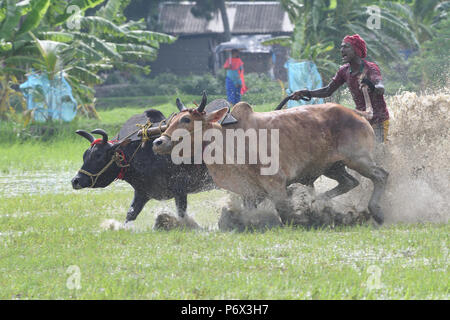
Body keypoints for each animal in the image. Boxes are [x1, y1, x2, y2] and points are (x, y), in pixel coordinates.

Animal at [71, 107, 215, 222]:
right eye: (84, 155)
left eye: (98, 155)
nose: (76, 181)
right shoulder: (142, 193)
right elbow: (130, 214)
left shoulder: (180, 190)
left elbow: (181, 214)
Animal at [152, 94, 390, 225]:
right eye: (170, 120)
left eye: (186, 119)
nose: (158, 142)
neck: (229, 141)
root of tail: (357, 113)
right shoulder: (248, 191)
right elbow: (251, 212)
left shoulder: (275, 182)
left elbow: (283, 210)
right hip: (333, 167)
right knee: (349, 182)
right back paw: (318, 202)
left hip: (359, 159)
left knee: (381, 176)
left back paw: (377, 212)